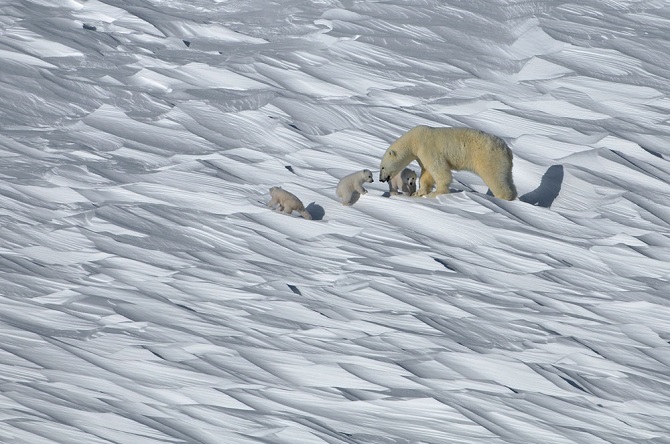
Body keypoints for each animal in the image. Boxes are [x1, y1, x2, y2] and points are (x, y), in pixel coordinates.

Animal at [380, 125, 516, 200]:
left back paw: (503, 197)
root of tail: (508, 150)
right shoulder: (421, 155)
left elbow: (438, 169)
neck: (414, 140)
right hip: (504, 164)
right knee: (507, 178)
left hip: (489, 158)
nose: (381, 179)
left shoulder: (428, 148)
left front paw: (436, 193)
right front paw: (419, 192)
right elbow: (426, 173)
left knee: (495, 177)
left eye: (382, 167)